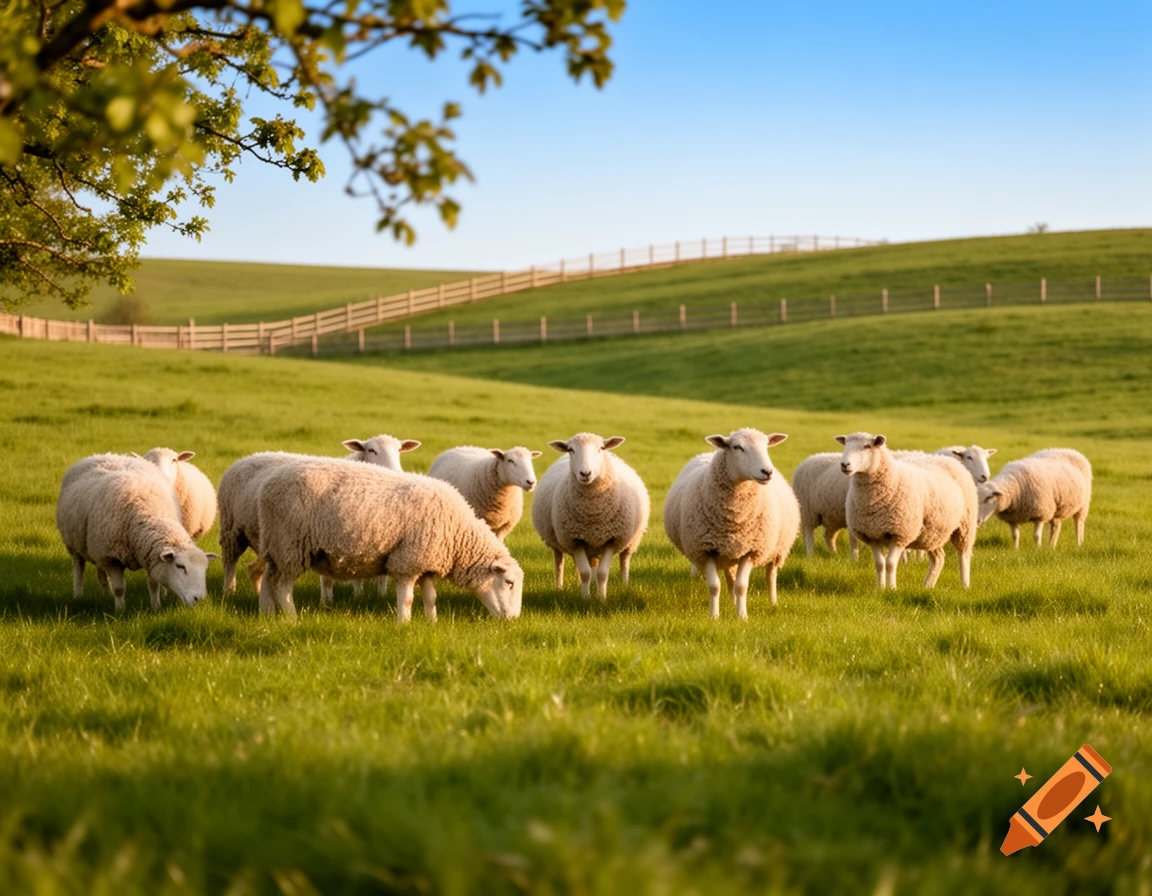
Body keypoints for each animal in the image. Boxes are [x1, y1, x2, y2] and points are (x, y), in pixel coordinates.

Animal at [56, 454, 215, 613]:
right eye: (180, 566)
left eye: (205, 569)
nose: (199, 599)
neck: (149, 512)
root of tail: (102, 455)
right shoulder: (112, 557)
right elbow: (119, 589)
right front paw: (120, 611)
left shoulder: (150, 556)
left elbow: (154, 586)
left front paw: (156, 607)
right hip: (73, 543)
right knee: (79, 569)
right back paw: (78, 596)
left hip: (95, 545)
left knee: (100, 569)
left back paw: (106, 593)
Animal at [254, 458, 523, 622]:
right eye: (508, 582)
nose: (513, 619)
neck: (458, 534)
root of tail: (268, 485)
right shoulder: (407, 562)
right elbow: (407, 599)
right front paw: (404, 625)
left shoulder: (426, 563)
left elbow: (430, 597)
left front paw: (432, 622)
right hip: (290, 545)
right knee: (282, 587)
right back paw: (292, 618)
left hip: (276, 546)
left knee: (268, 580)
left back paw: (267, 616)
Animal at [532, 433, 649, 600]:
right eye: (571, 449)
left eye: (601, 448)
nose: (585, 473)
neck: (592, 513)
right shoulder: (575, 540)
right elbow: (585, 573)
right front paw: (586, 598)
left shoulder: (611, 539)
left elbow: (602, 573)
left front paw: (601, 599)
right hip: (558, 542)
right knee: (560, 562)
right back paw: (560, 587)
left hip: (631, 540)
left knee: (624, 560)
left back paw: (624, 585)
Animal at [664, 429, 799, 618]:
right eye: (737, 447)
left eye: (766, 445)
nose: (767, 472)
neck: (734, 517)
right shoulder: (706, 550)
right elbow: (714, 586)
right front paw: (714, 616)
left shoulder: (751, 550)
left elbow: (742, 586)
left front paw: (742, 616)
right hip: (729, 553)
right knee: (731, 577)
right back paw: (731, 601)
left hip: (777, 550)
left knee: (770, 576)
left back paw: (773, 602)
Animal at [836, 432, 977, 589]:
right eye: (846, 445)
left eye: (867, 446)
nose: (844, 464)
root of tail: (948, 459)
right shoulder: (872, 535)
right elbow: (879, 564)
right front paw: (880, 588)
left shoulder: (900, 534)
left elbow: (890, 564)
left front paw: (892, 588)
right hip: (933, 533)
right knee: (939, 558)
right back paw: (927, 586)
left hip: (965, 524)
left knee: (964, 555)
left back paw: (964, 584)